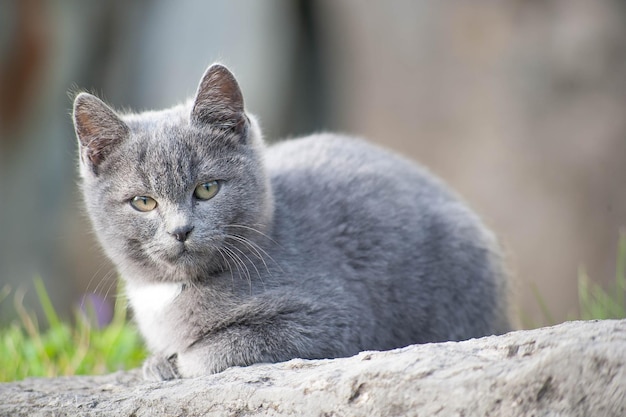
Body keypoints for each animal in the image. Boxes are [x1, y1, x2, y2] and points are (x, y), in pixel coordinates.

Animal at [73, 62, 510, 380]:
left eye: (207, 189)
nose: (180, 230)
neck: (169, 293)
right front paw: (156, 362)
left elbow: (216, 350)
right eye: (143, 202)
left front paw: (174, 363)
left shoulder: (331, 321)